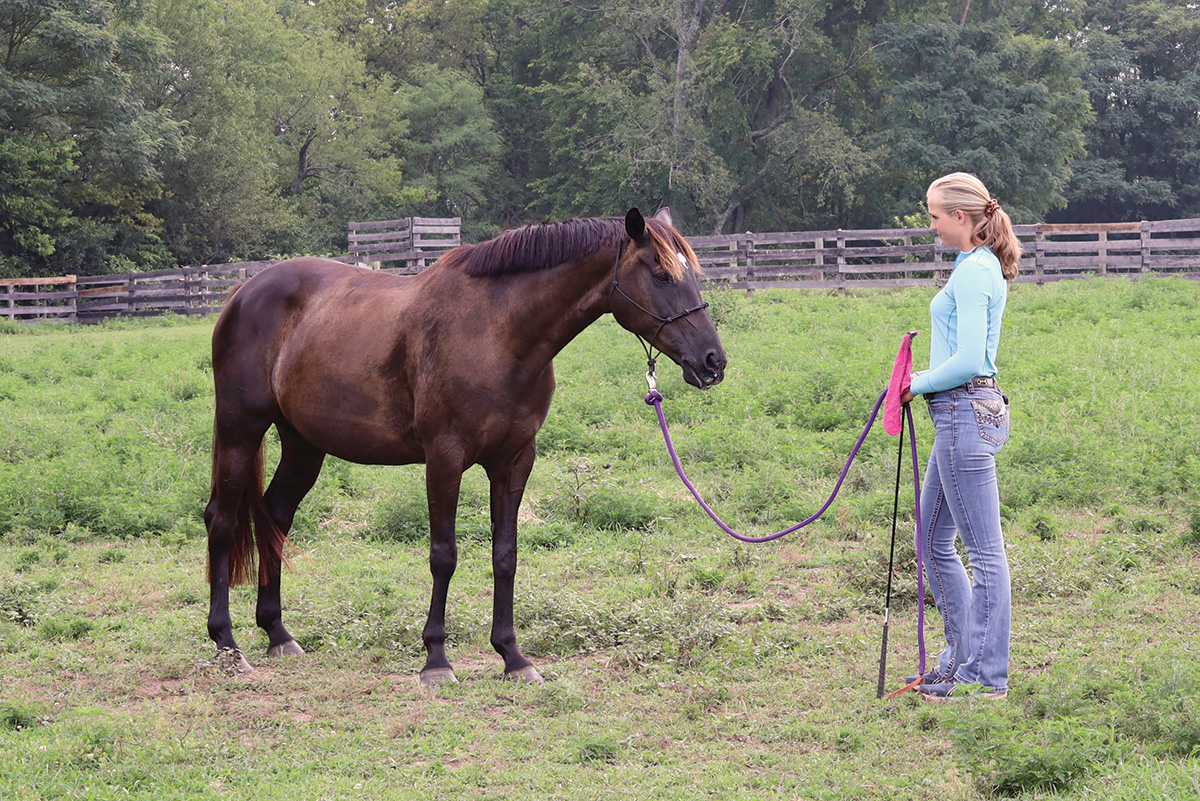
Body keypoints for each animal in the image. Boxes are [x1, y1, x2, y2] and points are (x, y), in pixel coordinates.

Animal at [204, 207, 727, 683]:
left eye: (692, 275)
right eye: (661, 275)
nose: (713, 361)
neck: (497, 331)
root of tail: (243, 292)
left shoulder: (514, 460)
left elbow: (505, 555)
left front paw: (513, 656)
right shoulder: (444, 459)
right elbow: (444, 555)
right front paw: (436, 659)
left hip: (304, 445)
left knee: (275, 514)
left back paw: (277, 634)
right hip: (240, 430)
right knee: (222, 521)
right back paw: (227, 644)